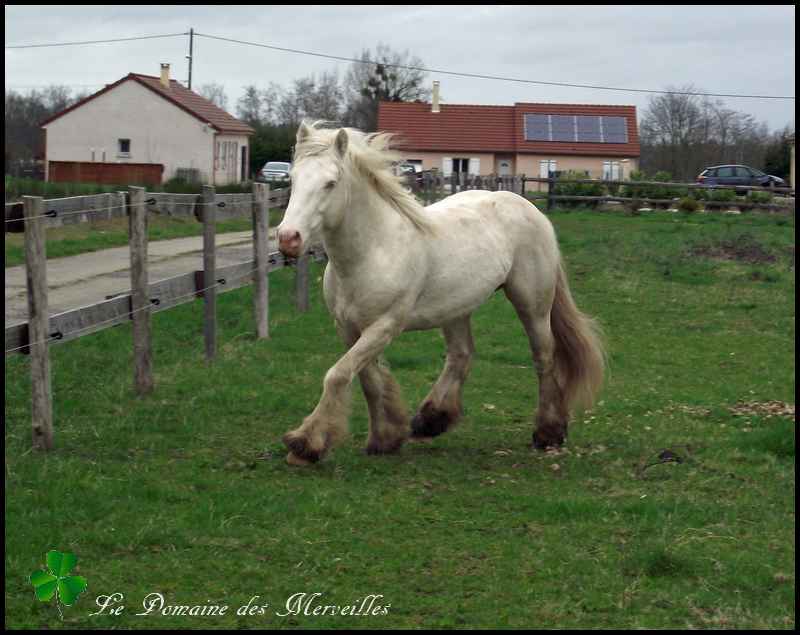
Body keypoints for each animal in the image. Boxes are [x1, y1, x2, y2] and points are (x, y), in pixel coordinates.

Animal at [276, 120, 608, 468]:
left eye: (331, 183)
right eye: (293, 178)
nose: (288, 239)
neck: (373, 249)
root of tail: (529, 208)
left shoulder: (384, 326)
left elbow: (338, 375)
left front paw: (305, 444)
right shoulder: (348, 328)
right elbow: (368, 380)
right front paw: (385, 437)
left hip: (532, 304)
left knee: (544, 357)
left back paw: (548, 433)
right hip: (456, 308)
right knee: (461, 355)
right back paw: (431, 420)